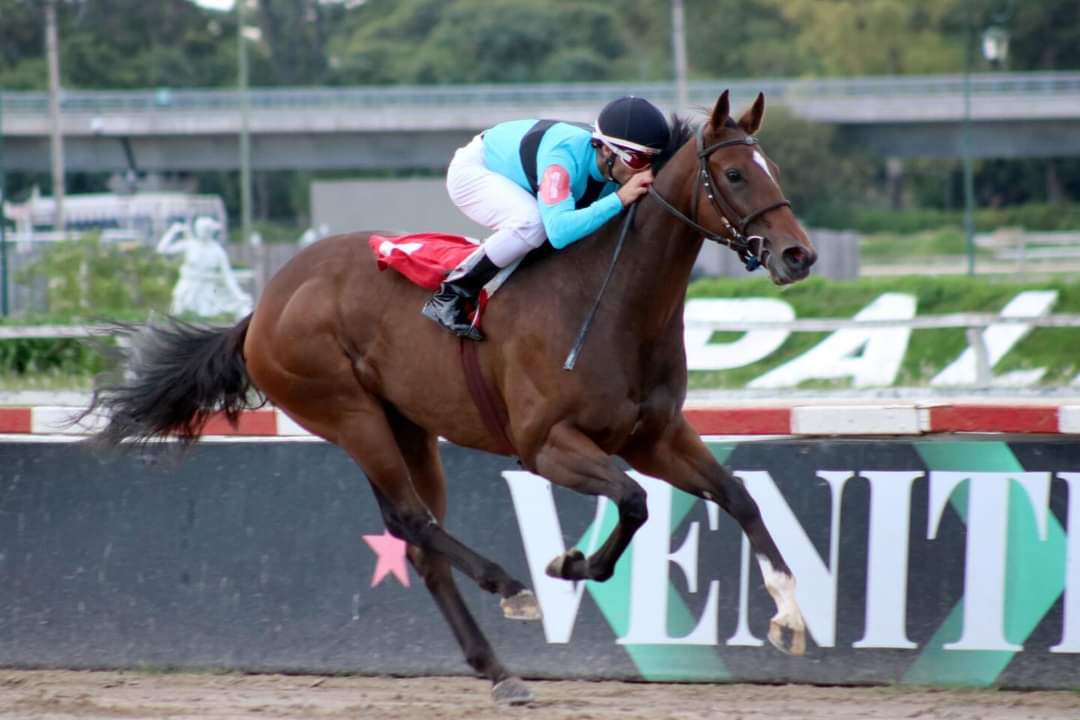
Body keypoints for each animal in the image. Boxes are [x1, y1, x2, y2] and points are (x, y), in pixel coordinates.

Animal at [83, 91, 816, 705]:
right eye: (735, 175)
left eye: (774, 167)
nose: (798, 255)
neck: (614, 303)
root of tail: (262, 308)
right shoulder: (546, 446)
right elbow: (633, 500)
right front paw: (569, 562)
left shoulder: (655, 436)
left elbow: (737, 495)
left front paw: (788, 613)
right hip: (351, 416)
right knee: (414, 522)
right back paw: (510, 588)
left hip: (410, 427)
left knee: (419, 544)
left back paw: (499, 670)